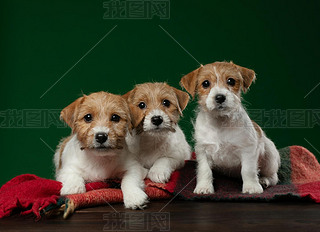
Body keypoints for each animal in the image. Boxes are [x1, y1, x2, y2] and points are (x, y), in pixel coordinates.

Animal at [181, 61, 282, 194]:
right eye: (205, 83)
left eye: (231, 81)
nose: (220, 97)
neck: (220, 122)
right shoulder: (203, 150)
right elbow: (204, 170)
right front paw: (204, 187)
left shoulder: (248, 149)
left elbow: (248, 170)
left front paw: (251, 187)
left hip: (270, 154)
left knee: (274, 176)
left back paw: (264, 180)